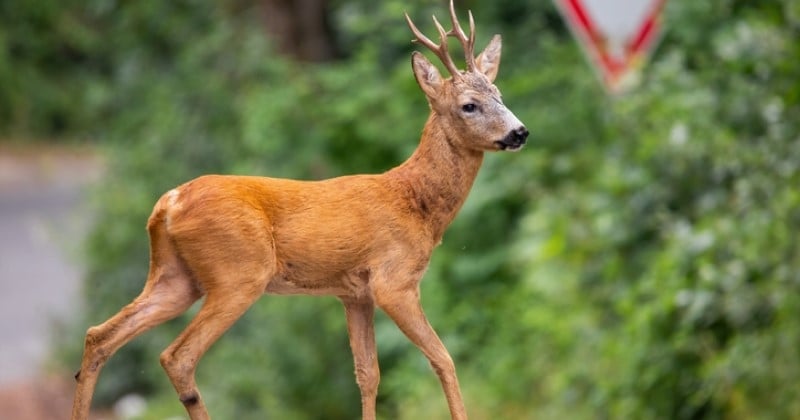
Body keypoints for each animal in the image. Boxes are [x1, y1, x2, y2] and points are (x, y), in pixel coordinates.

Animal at [72, 1, 528, 418]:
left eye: (500, 95)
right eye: (469, 105)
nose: (519, 132)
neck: (416, 202)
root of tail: (169, 202)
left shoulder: (354, 293)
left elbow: (368, 374)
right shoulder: (394, 280)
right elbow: (443, 359)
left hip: (176, 278)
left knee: (100, 335)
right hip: (239, 273)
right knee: (177, 356)